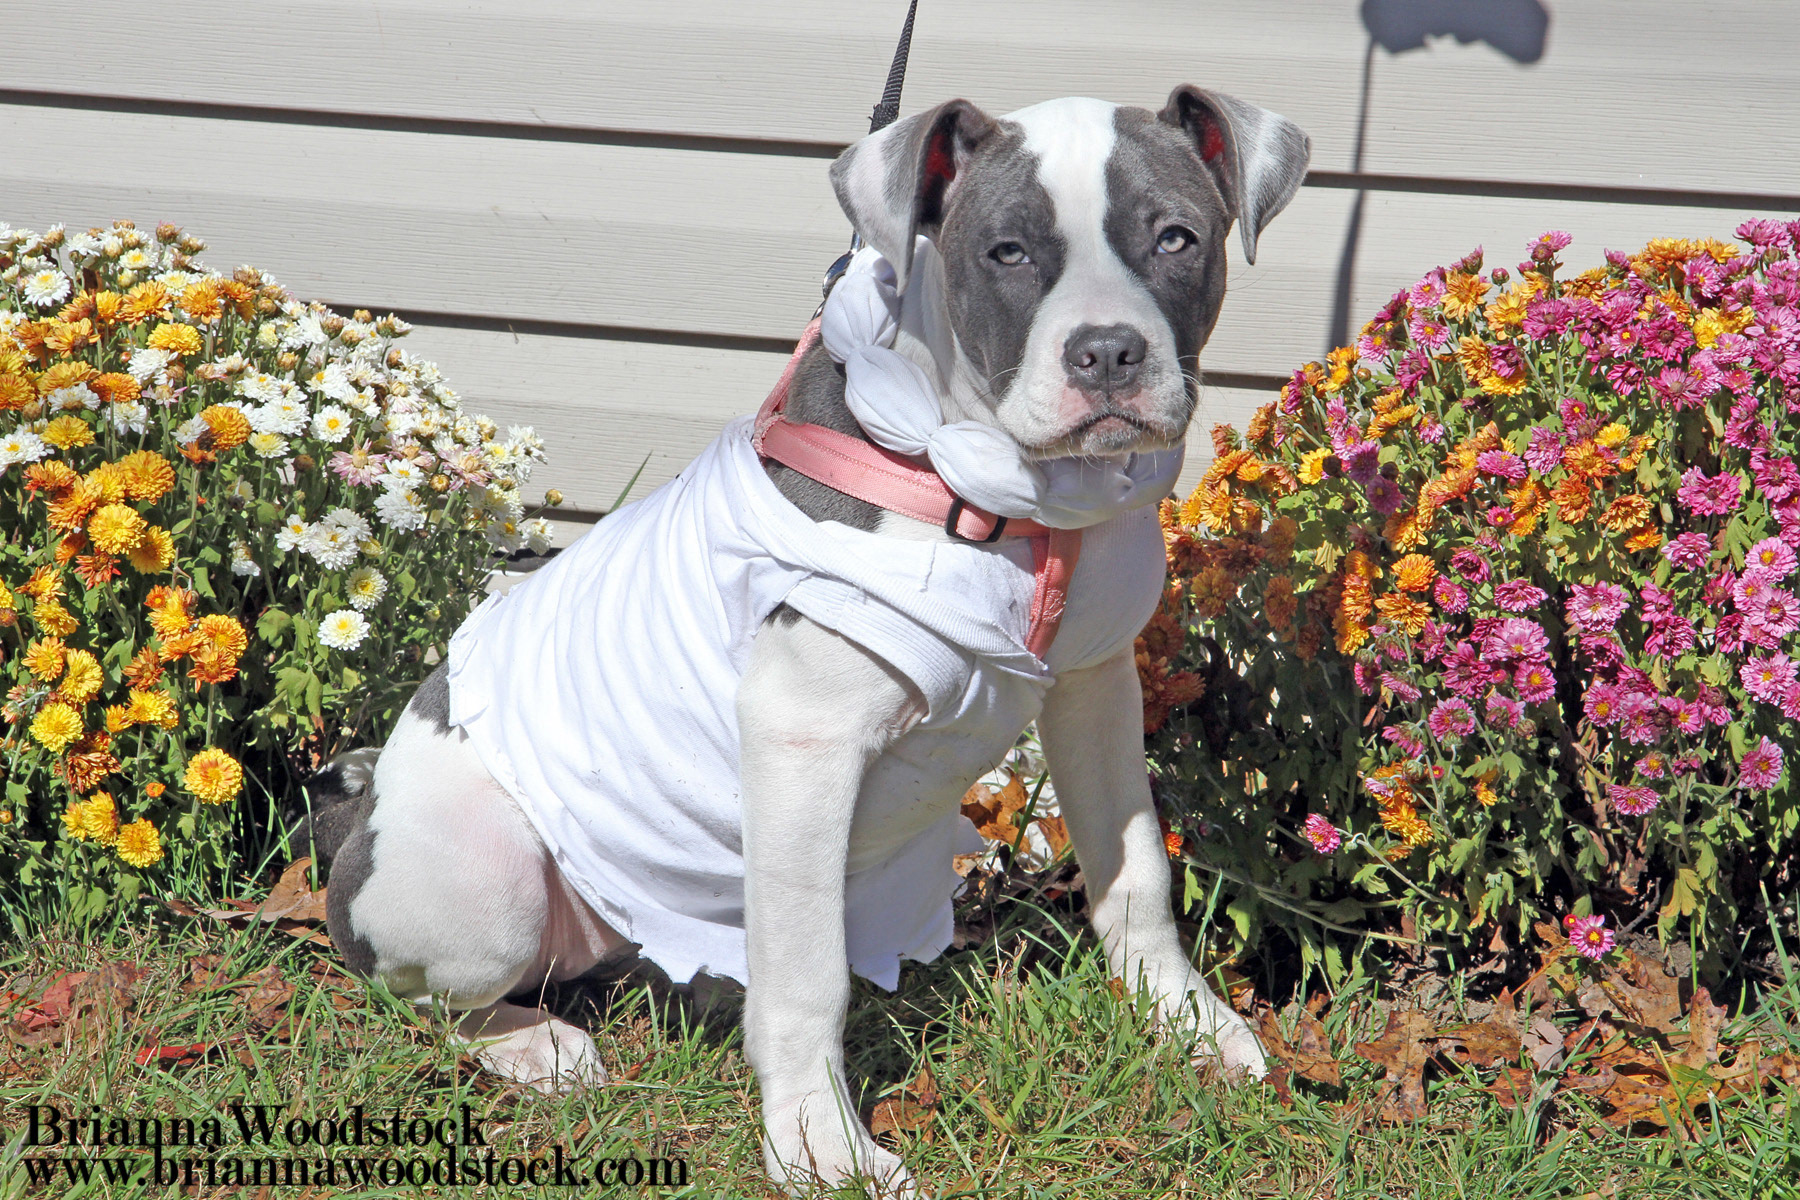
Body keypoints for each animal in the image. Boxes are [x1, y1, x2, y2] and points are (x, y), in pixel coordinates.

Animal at [311, 87, 1309, 1196]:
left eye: (1176, 238)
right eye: (1006, 252)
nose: (1107, 353)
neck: (1001, 494)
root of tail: (355, 818)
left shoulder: (1094, 688)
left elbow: (1134, 873)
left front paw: (1191, 1030)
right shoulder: (803, 741)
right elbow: (809, 979)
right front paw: (821, 1145)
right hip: (487, 880)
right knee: (417, 999)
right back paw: (534, 1045)